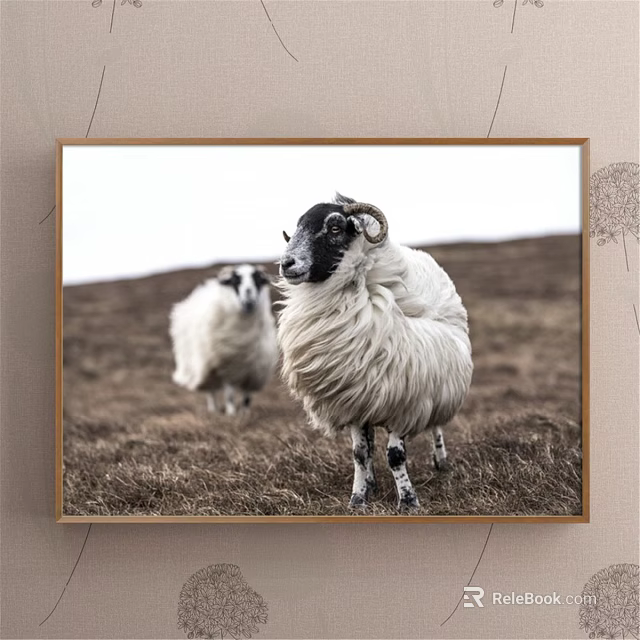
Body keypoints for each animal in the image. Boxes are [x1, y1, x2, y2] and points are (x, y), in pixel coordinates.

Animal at [170, 264, 278, 415]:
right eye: (235, 281)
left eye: (257, 280)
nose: (249, 300)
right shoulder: (227, 367)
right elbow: (230, 394)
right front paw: (231, 413)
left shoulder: (253, 370)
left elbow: (247, 396)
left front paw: (245, 414)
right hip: (206, 367)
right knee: (211, 391)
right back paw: (214, 410)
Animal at [277, 194, 473, 511]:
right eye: (298, 227)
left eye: (334, 227)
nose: (286, 263)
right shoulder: (355, 397)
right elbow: (359, 453)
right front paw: (358, 499)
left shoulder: (404, 398)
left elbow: (396, 455)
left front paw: (408, 502)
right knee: (368, 443)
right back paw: (372, 483)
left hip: (437, 381)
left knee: (436, 425)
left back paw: (440, 461)